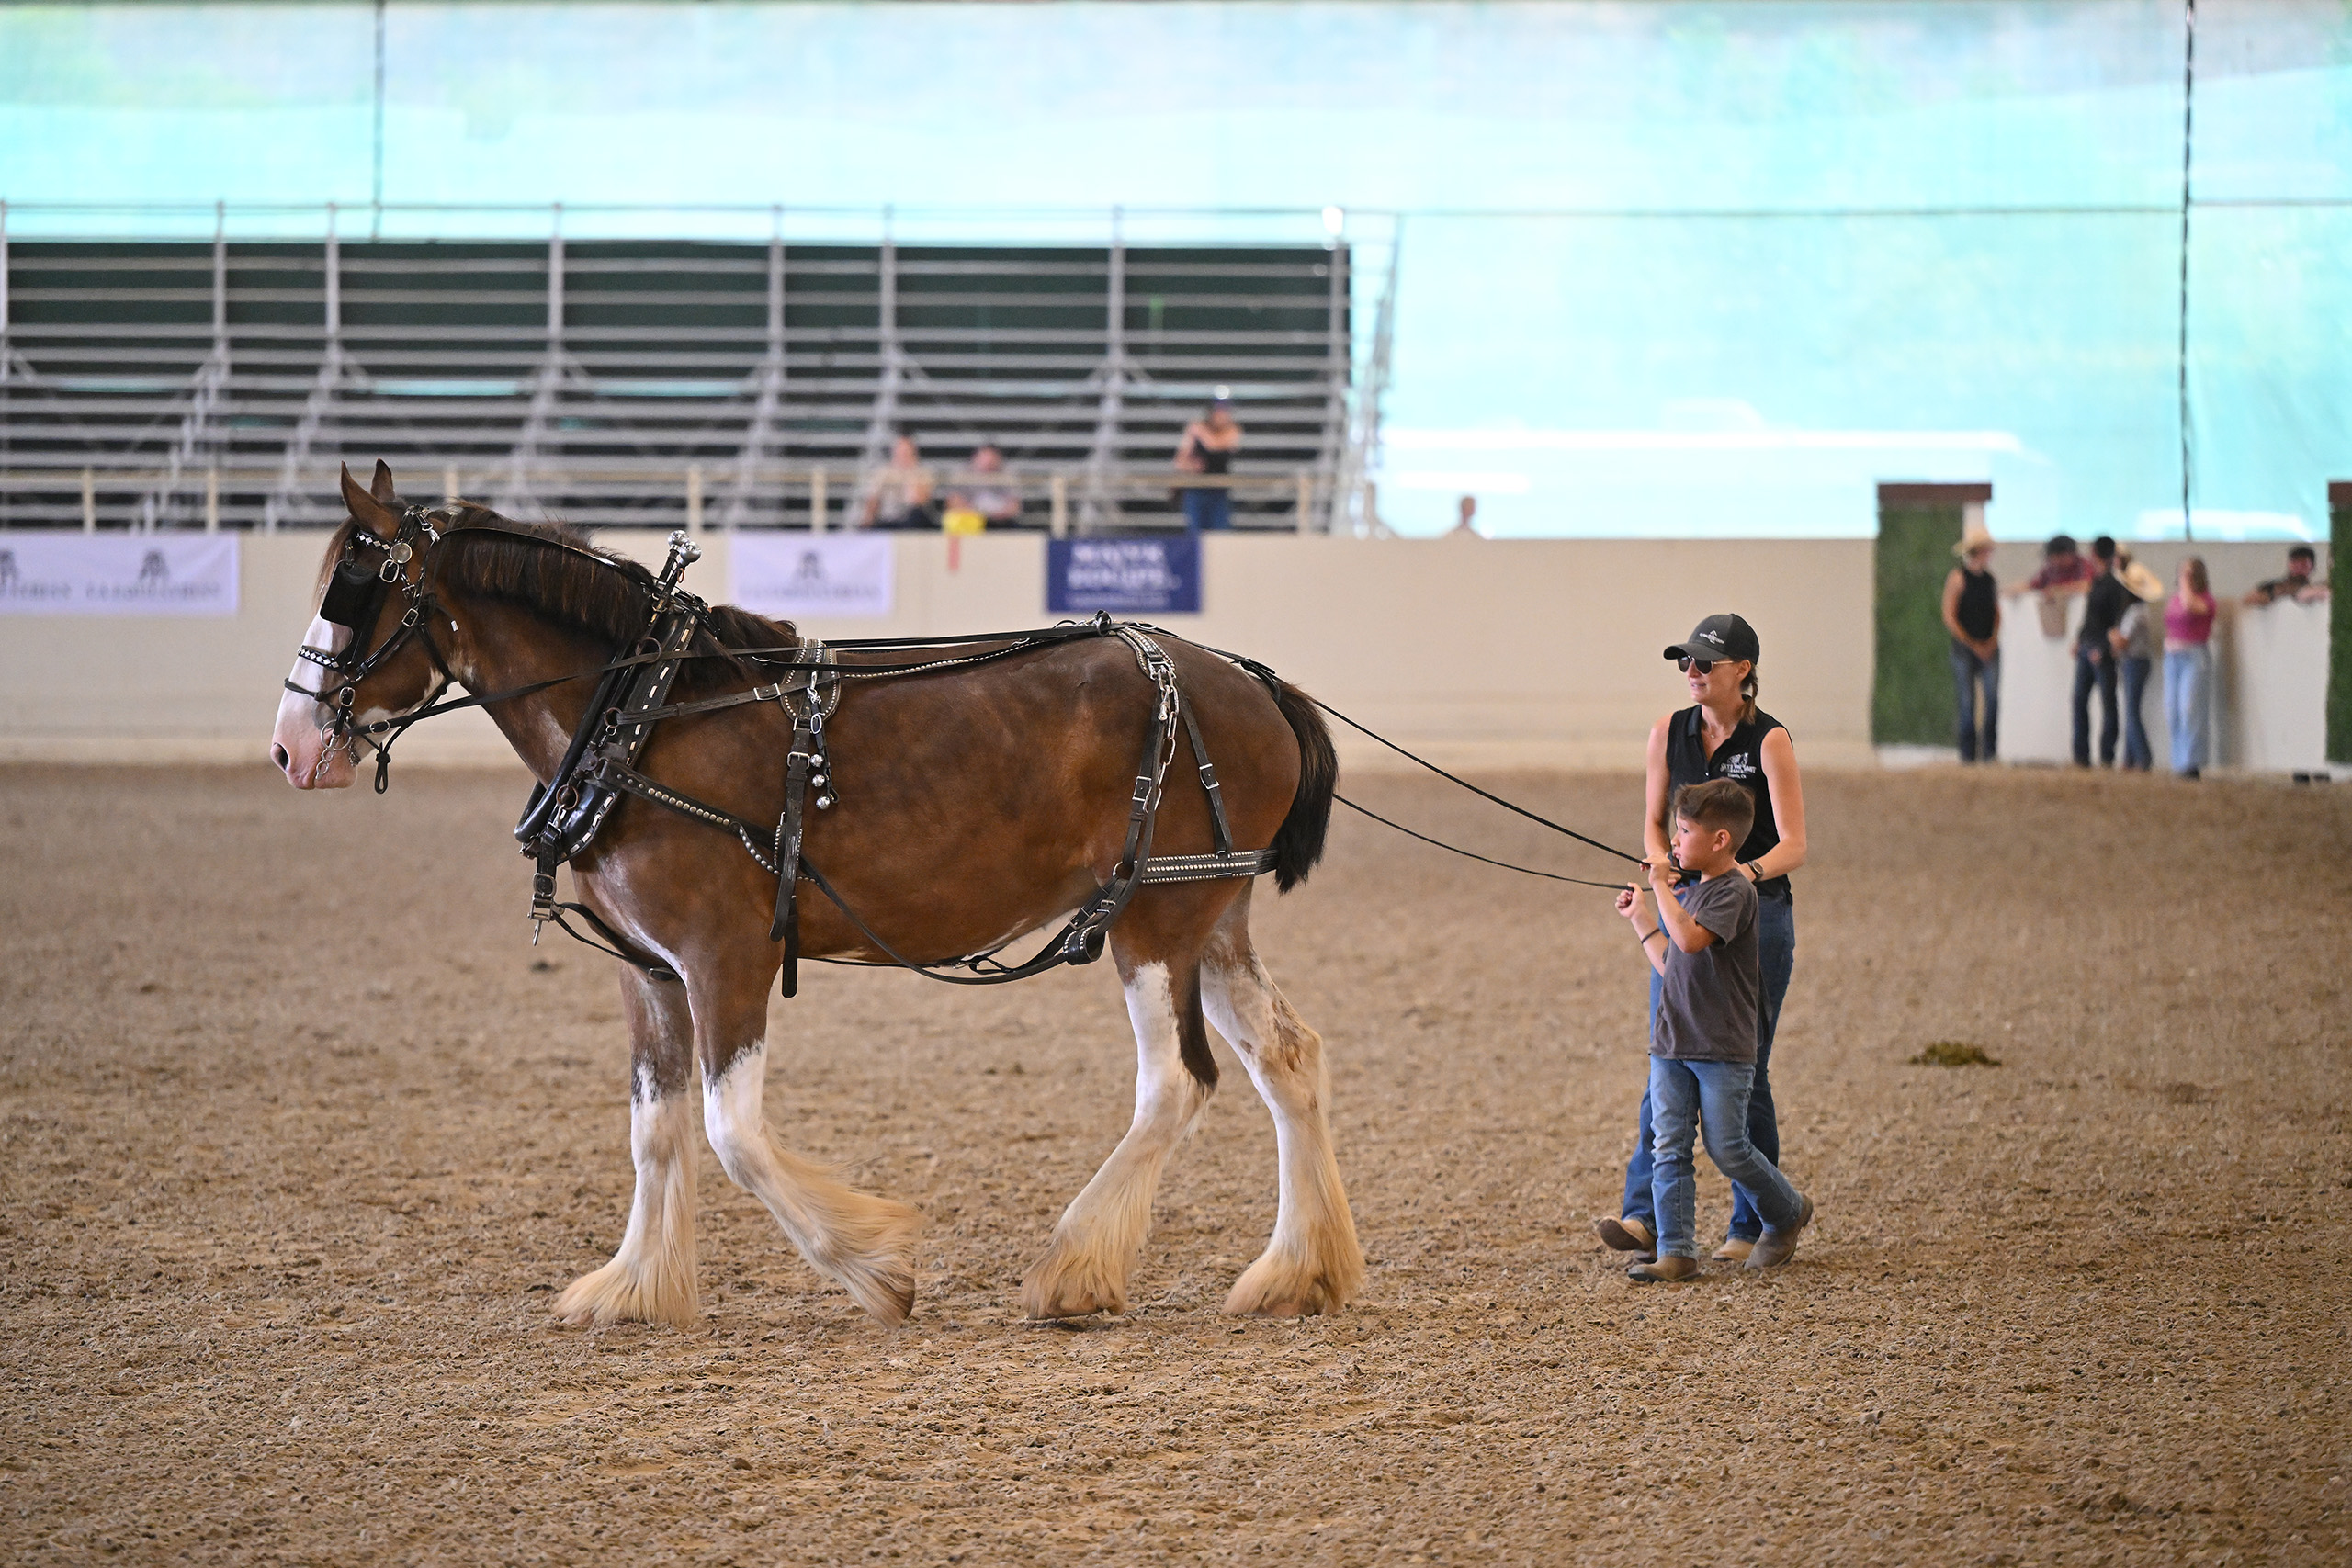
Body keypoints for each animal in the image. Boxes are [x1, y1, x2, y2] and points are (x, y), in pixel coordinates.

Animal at [269, 462, 1364, 1329]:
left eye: (357, 589)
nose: (291, 747)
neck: (648, 711)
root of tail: (1245, 680)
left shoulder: (726, 958)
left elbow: (733, 1133)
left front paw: (876, 1268)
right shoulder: (650, 970)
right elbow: (656, 1128)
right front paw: (637, 1285)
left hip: (1153, 919)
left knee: (1175, 1081)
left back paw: (1076, 1267)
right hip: (1210, 912)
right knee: (1288, 1057)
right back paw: (1296, 1272)